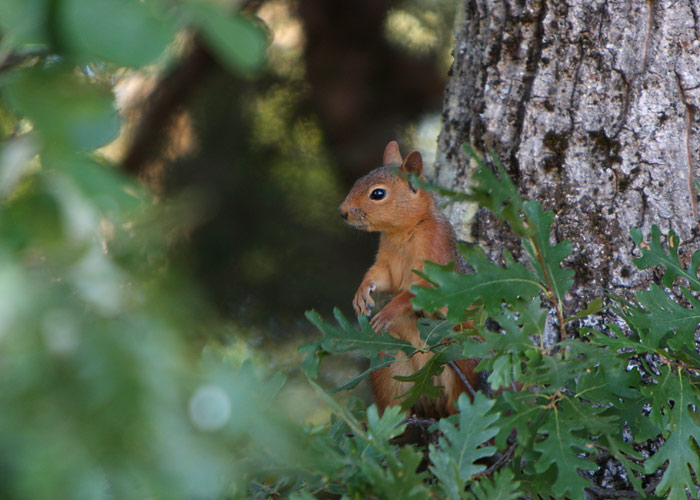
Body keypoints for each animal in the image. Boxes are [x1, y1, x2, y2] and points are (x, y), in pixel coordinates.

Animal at [338, 141, 482, 418]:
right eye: (358, 180)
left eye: (378, 194)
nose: (342, 213)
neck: (402, 232)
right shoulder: (386, 262)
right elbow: (380, 278)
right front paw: (362, 293)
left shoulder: (437, 260)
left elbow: (417, 292)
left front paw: (388, 311)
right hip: (391, 365)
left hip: (459, 359)